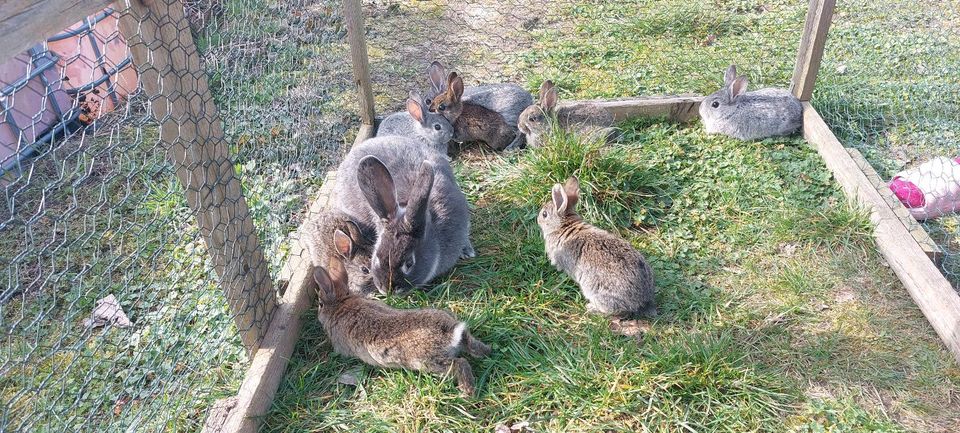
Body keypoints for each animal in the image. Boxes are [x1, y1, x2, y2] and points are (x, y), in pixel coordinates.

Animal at [316, 256, 492, 398]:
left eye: (320, 304)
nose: (318, 314)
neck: (341, 303)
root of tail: (450, 332)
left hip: (429, 361)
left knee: (460, 363)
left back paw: (467, 392)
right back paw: (486, 353)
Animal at [536, 176, 656, 318]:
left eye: (544, 214)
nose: (538, 219)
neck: (562, 226)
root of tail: (641, 300)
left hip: (596, 291)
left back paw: (592, 308)